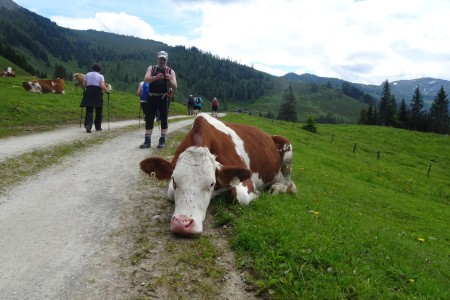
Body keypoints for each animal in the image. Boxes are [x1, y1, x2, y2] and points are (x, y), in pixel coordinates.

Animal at [139, 113, 298, 237]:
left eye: (211, 183)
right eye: (174, 180)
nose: (182, 224)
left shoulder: (246, 178)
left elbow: (240, 196)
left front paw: (257, 193)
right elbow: (171, 194)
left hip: (288, 152)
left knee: (288, 181)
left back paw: (279, 188)